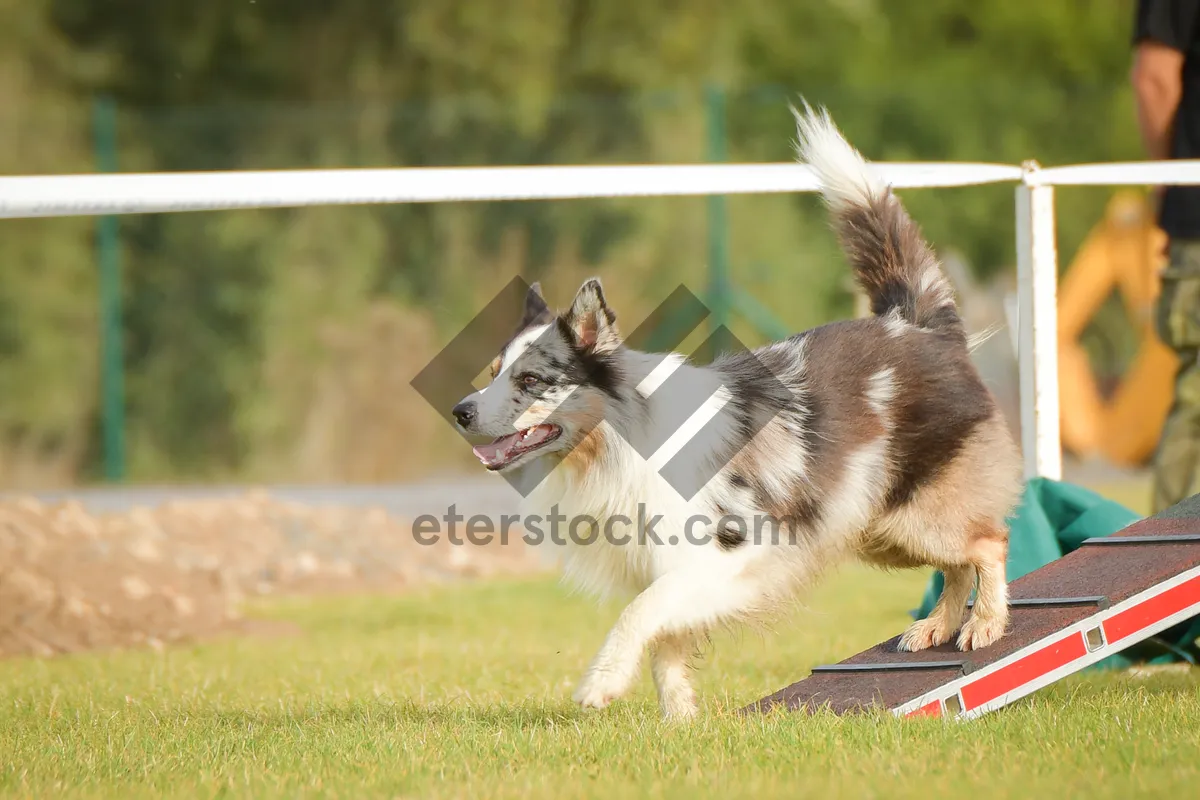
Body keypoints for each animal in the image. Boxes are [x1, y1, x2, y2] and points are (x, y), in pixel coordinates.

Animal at [451, 103, 1022, 724]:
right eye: (492, 372)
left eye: (530, 380)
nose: (460, 412)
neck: (618, 442)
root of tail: (919, 326)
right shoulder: (666, 564)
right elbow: (664, 644)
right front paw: (680, 720)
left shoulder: (731, 554)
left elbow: (639, 614)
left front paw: (602, 682)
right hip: (876, 526)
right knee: (957, 561)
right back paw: (935, 627)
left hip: (911, 513)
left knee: (988, 542)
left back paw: (985, 624)